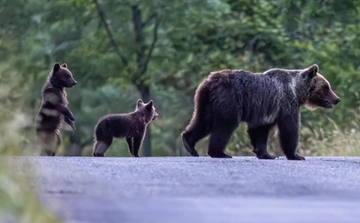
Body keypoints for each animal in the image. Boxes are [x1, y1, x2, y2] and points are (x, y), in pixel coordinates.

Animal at [181, 64, 342, 160]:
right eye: (326, 87)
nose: (337, 99)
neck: (297, 91)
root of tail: (209, 82)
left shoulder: (267, 110)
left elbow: (260, 130)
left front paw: (266, 154)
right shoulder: (286, 103)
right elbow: (289, 129)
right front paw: (296, 155)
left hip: (205, 102)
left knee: (202, 122)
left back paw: (189, 144)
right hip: (229, 99)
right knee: (225, 126)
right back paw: (219, 153)